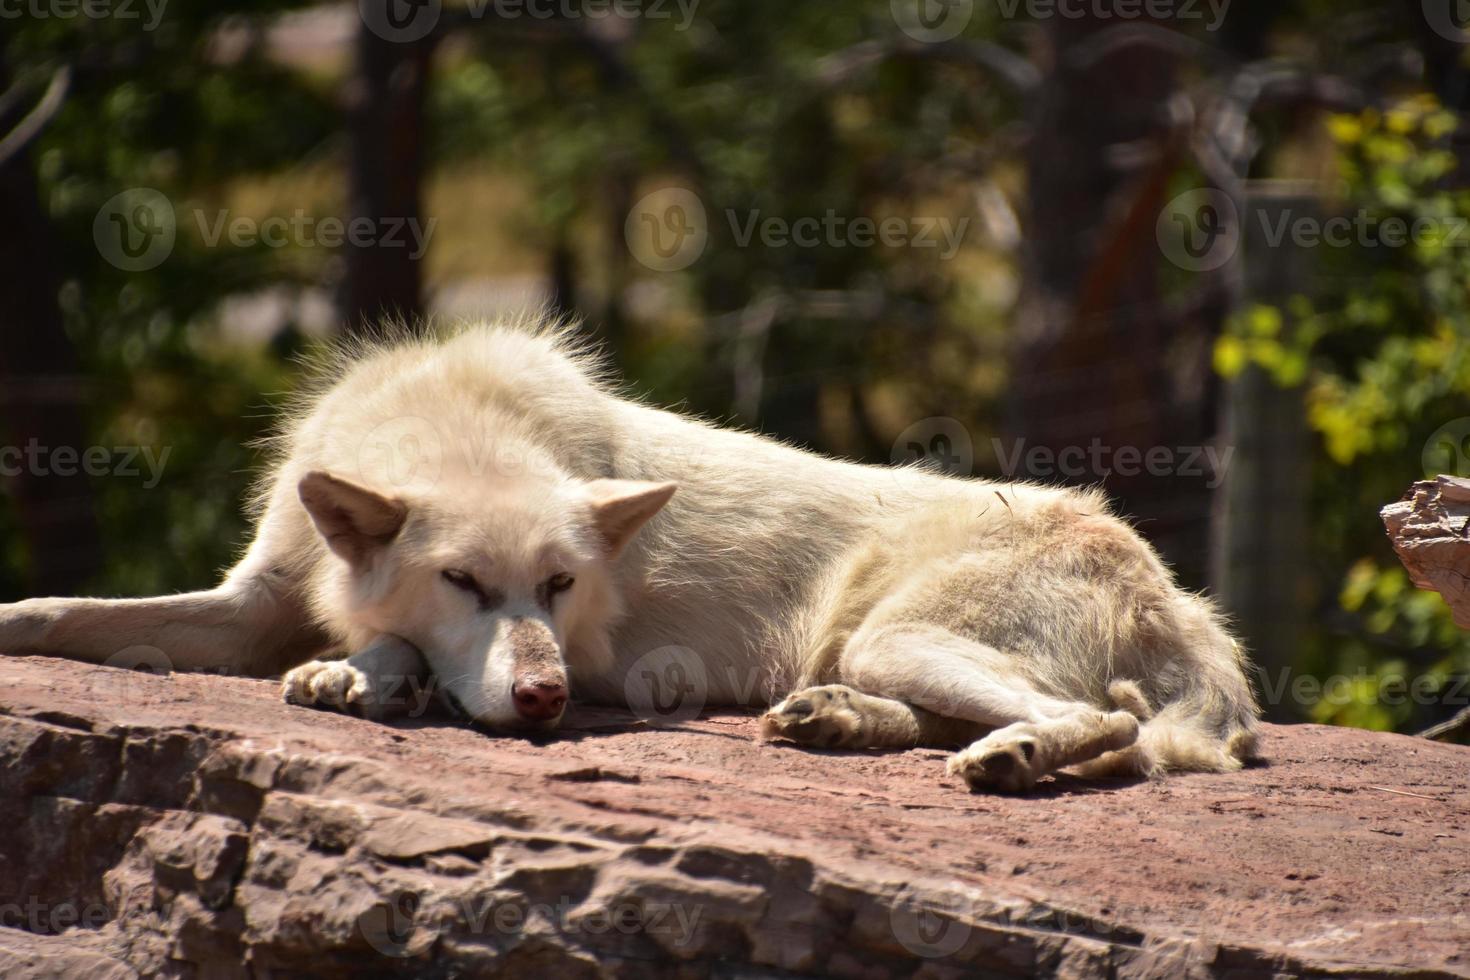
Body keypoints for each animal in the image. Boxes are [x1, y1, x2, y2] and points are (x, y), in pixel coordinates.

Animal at [0, 318, 1264, 793]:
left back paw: (1011, 757)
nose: (548, 699)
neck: (451, 420)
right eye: (466, 580)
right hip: (875, 648)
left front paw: (366, 677)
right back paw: (835, 722)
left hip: (902, 634)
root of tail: (1182, 592)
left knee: (1107, 726)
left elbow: (398, 654)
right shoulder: (247, 598)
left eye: (563, 586)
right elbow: (69, 611)